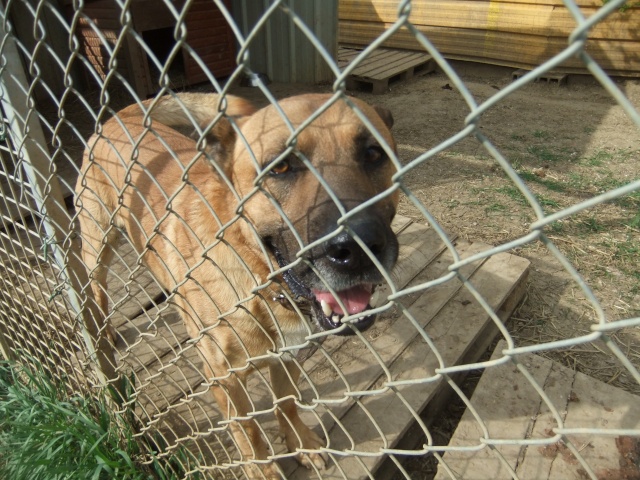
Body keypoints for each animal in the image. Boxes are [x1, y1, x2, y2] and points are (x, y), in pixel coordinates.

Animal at [74, 91, 396, 476]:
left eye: (374, 154)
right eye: (281, 167)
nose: (359, 248)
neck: (262, 283)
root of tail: (121, 116)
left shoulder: (287, 354)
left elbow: (287, 402)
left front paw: (300, 442)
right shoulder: (223, 377)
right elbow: (251, 434)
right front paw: (263, 471)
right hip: (98, 243)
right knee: (96, 288)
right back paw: (101, 332)